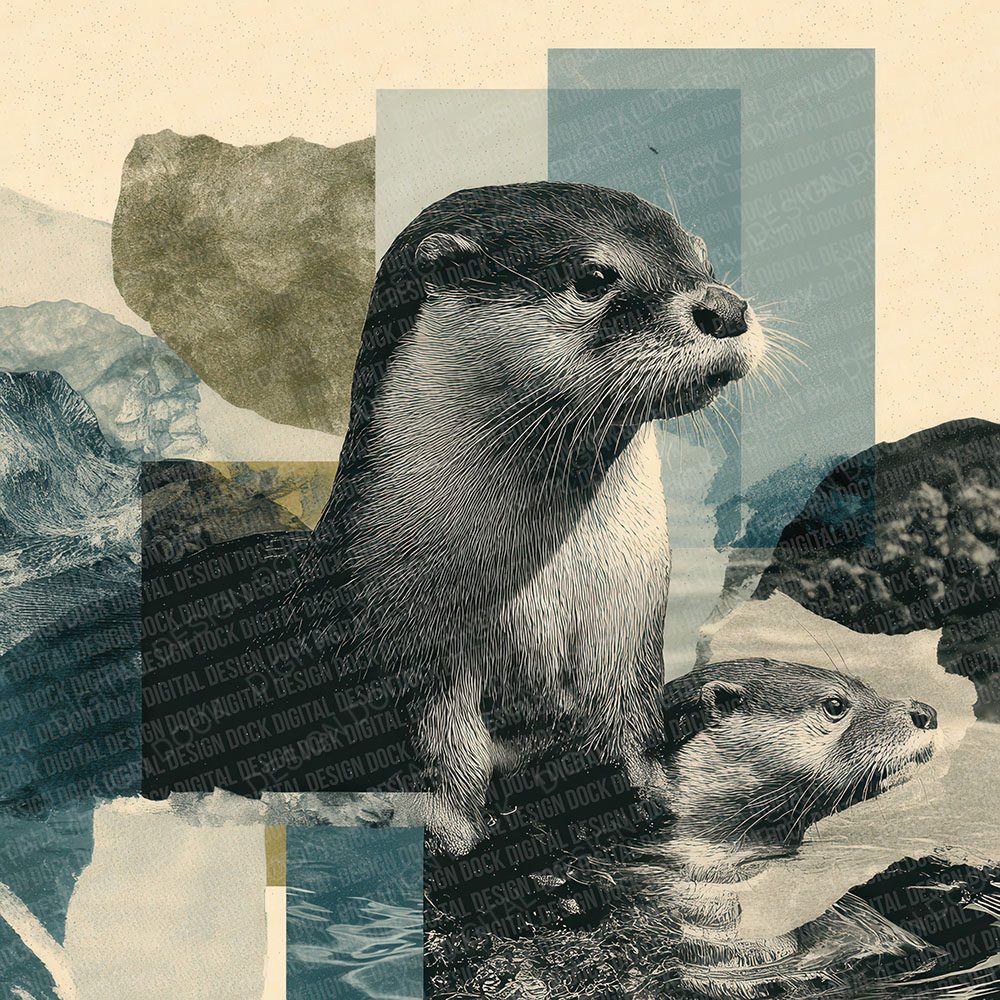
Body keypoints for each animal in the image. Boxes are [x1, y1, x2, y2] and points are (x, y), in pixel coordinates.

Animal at [305, 182, 766, 853]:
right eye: (594, 277)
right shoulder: (411, 658)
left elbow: (630, 737)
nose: (726, 308)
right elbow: (446, 754)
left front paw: (652, 797)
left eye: (704, 261)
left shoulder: (624, 641)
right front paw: (444, 829)